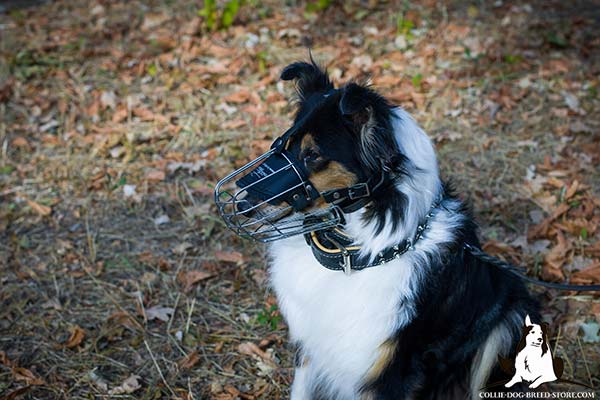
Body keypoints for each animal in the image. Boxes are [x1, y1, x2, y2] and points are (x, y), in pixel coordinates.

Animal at [218, 60, 540, 400]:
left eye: (312, 155)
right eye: (280, 146)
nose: (240, 205)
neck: (353, 255)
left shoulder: (389, 373)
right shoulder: (310, 348)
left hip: (511, 319)